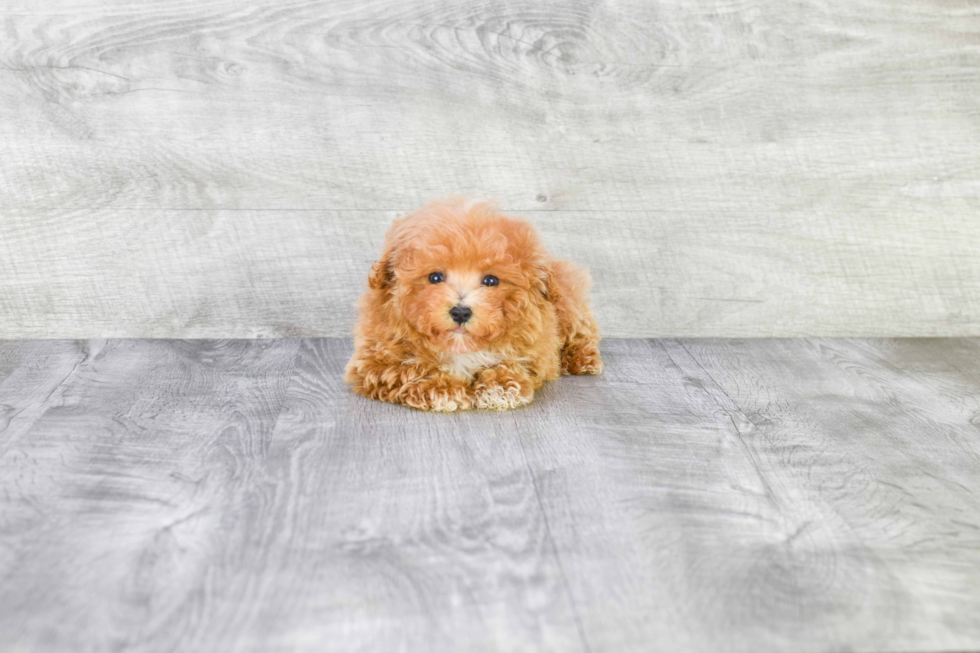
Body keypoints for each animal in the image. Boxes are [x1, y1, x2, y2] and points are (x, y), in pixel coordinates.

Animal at [344, 196, 604, 410]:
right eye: (435, 277)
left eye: (490, 280)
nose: (460, 312)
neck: (460, 347)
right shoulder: (374, 361)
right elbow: (410, 368)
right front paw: (443, 389)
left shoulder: (533, 351)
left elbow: (508, 363)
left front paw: (499, 388)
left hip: (568, 306)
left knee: (582, 332)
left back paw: (584, 360)